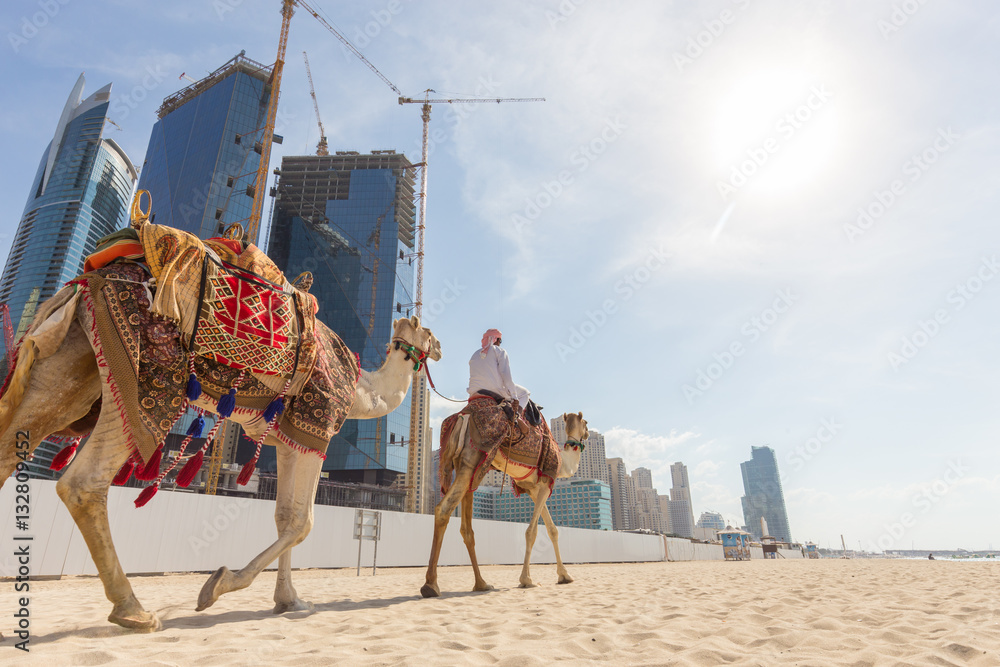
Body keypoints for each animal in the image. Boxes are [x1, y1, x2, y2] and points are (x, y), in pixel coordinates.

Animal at [0, 298, 440, 631]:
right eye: (430, 333)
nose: (438, 348)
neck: (365, 391)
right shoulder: (316, 430)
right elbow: (302, 522)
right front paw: (218, 585)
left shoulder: (288, 440)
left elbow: (285, 518)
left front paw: (289, 601)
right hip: (143, 380)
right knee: (83, 482)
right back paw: (134, 611)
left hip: (74, 363)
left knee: (14, 442)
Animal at [421, 410, 589, 597]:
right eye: (586, 423)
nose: (588, 434)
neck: (564, 463)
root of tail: (461, 418)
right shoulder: (545, 483)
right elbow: (532, 531)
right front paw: (526, 580)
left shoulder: (534, 488)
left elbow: (552, 530)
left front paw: (564, 575)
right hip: (470, 461)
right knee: (443, 509)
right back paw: (431, 585)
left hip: (467, 467)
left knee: (466, 528)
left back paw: (481, 584)